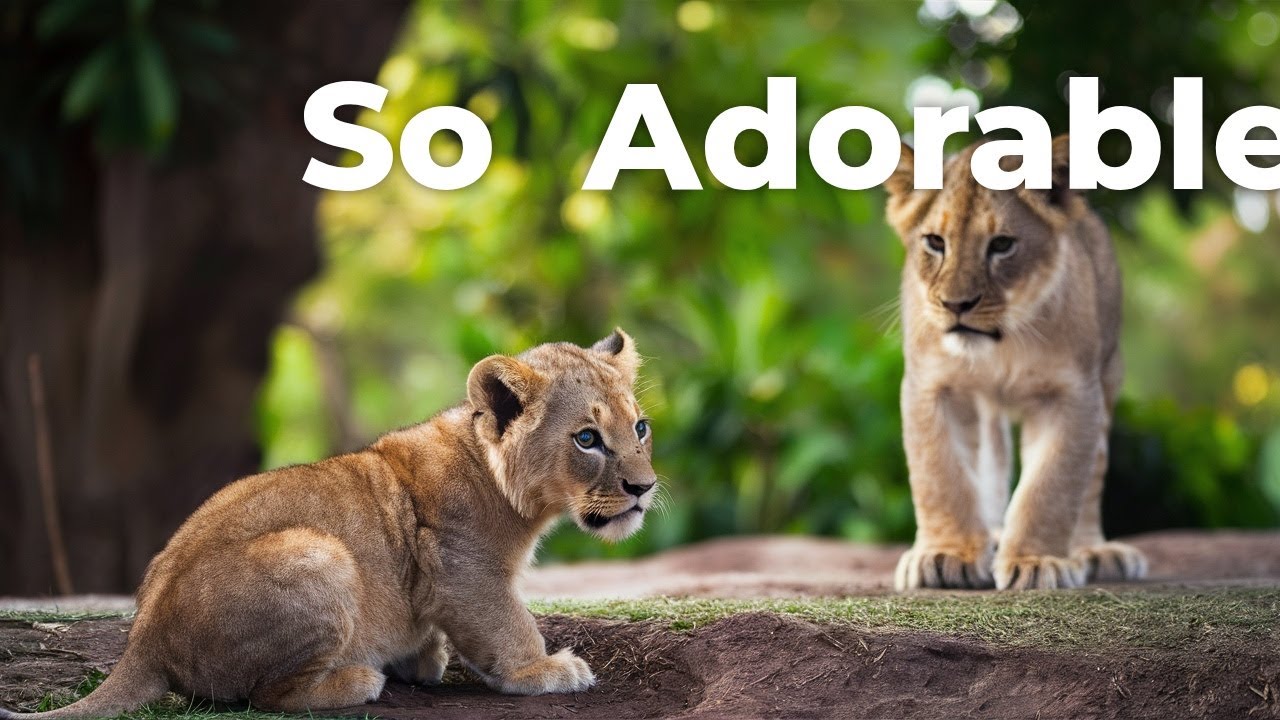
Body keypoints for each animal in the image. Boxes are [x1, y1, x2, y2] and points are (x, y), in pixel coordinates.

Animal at [2, 330, 656, 717]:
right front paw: (545, 669)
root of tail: (143, 640)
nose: (644, 489)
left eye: (640, 428)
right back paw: (356, 680)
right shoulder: (466, 571)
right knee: (265, 696)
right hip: (320, 552)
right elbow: (507, 626)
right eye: (587, 439)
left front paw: (423, 658)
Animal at [885, 136, 1147, 591]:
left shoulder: (1073, 392)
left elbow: (1052, 485)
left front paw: (1036, 562)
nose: (956, 305)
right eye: (935, 242)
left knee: (1092, 475)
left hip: (1109, 374)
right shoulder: (931, 385)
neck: (1001, 347)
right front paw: (945, 556)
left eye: (1002, 245)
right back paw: (989, 538)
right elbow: (941, 474)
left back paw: (1093, 552)